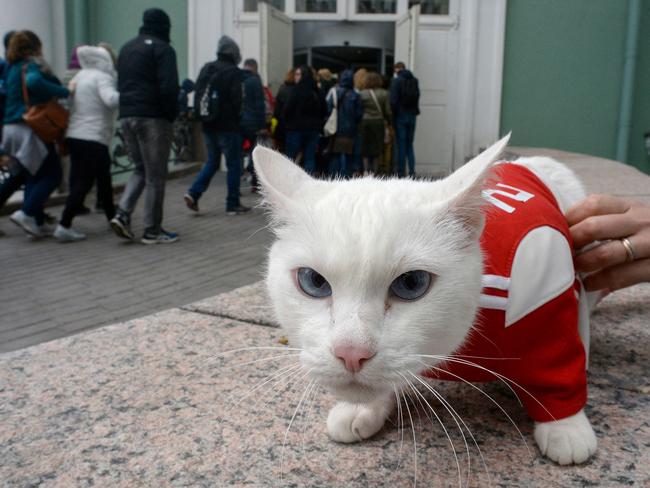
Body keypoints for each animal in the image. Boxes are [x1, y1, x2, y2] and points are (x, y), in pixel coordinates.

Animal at [251, 133, 596, 466]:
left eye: (411, 284)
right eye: (314, 281)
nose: (351, 353)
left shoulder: (548, 306)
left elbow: (559, 368)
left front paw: (565, 427)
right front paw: (362, 409)